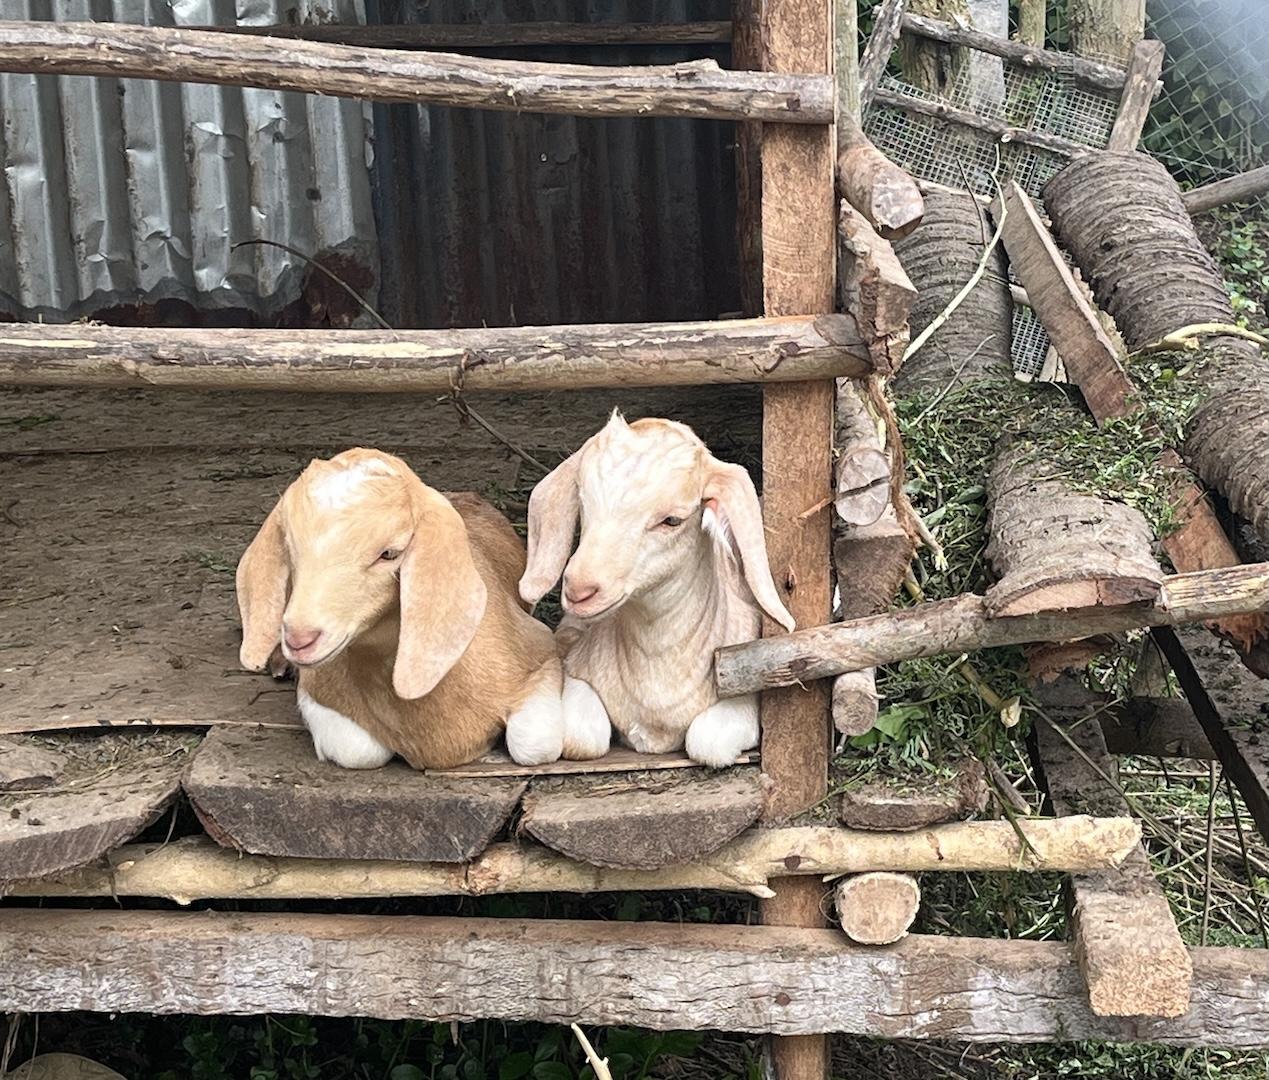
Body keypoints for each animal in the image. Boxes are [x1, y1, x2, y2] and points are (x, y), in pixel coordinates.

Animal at [236, 448, 586, 770]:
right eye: (290, 547)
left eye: (389, 553)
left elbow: (534, 744)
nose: (300, 638)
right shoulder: (315, 688)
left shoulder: (540, 648)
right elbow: (356, 751)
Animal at [518, 412, 794, 767]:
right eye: (583, 502)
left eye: (672, 520)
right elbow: (582, 741)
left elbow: (707, 742)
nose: (580, 589)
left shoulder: (744, 698)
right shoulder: (578, 674)